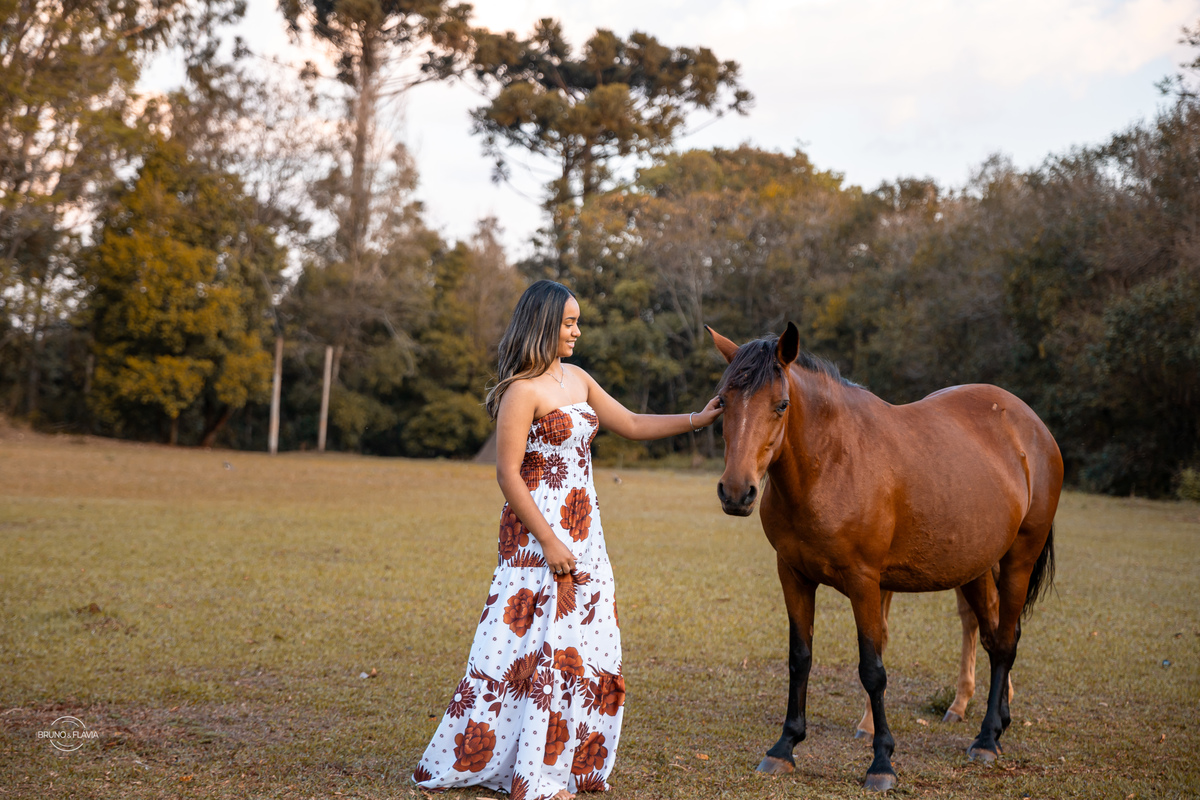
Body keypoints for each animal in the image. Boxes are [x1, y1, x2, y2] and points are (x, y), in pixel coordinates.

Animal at [708, 322, 1062, 792]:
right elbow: (800, 659)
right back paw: (996, 722)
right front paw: (784, 748)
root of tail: (1032, 426)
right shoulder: (793, 575)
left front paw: (881, 763)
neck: (832, 461)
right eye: (723, 402)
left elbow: (872, 669)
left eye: (781, 405)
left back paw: (986, 740)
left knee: (1004, 643)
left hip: (1019, 558)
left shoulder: (864, 582)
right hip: (975, 568)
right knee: (990, 636)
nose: (736, 491)